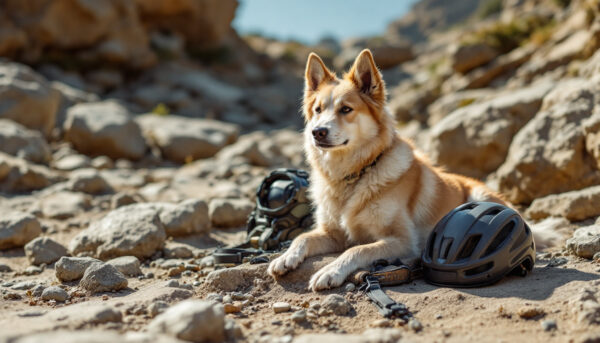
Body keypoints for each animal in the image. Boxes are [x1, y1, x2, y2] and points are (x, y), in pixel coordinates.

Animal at [268, 49, 510, 292]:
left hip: (480, 195)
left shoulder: (403, 241)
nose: (317, 132)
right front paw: (285, 257)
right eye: (317, 110)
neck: (353, 174)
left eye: (346, 109)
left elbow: (357, 249)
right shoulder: (333, 233)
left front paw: (331, 271)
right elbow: (303, 238)